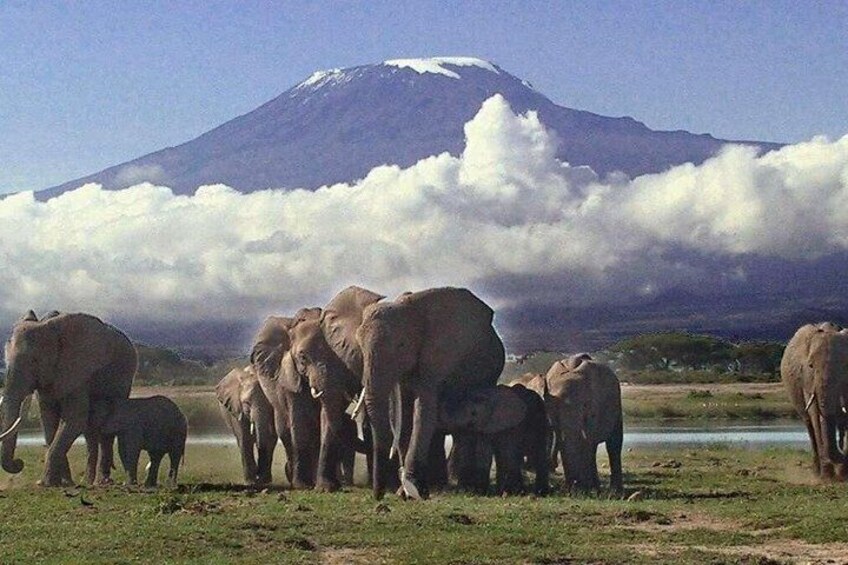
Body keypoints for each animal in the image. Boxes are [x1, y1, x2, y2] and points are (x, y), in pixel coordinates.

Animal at [1, 311, 137, 487]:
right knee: (90, 431)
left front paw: (46, 483)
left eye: (35, 361)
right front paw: (63, 483)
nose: (19, 462)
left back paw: (102, 482)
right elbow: (48, 422)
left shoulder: (77, 371)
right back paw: (87, 481)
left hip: (123, 378)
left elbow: (74, 419)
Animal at [357, 286, 505, 500]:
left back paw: (469, 488)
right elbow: (403, 415)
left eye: (401, 345)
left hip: (488, 370)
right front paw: (404, 493)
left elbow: (423, 411)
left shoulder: (436, 358)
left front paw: (413, 490)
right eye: (359, 346)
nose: (378, 497)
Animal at [544, 355, 623, 493]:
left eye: (586, 406)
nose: (575, 485)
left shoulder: (595, 408)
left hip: (617, 404)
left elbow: (588, 441)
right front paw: (575, 489)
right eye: (552, 408)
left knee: (613, 444)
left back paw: (613, 490)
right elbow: (563, 439)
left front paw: (585, 488)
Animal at [781, 322, 848, 480]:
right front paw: (828, 477)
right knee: (810, 425)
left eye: (844, 365)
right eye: (811, 365)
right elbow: (816, 415)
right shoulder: (807, 379)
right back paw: (818, 472)